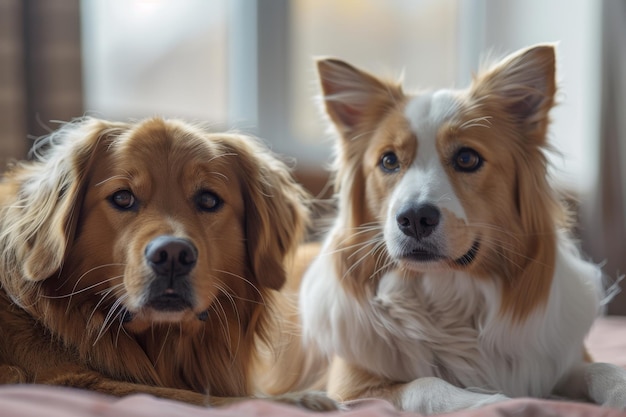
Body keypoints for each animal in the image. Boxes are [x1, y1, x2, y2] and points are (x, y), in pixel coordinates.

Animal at [0, 117, 334, 410]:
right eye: (122, 197)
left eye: (209, 200)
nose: (172, 255)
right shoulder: (68, 380)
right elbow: (198, 398)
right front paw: (302, 399)